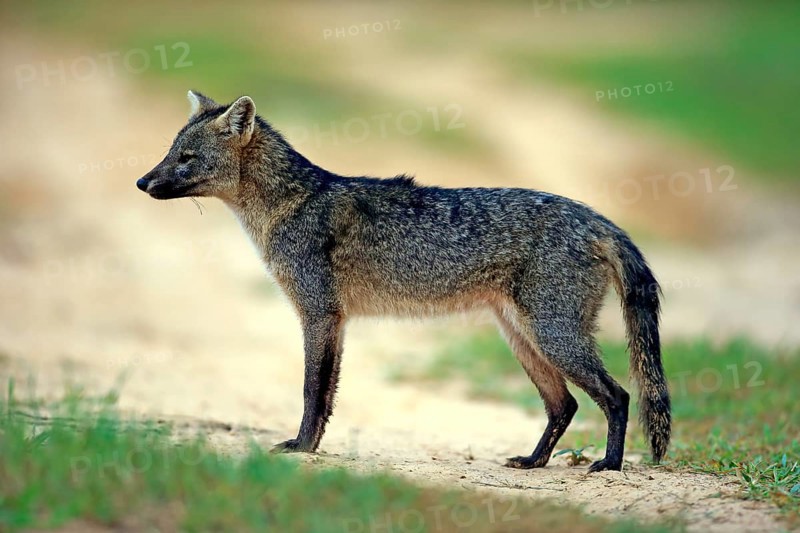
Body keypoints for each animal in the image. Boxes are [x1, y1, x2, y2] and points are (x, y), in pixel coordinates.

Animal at [136, 91, 671, 472]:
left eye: (186, 158)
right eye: (169, 152)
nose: (142, 182)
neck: (290, 204)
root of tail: (597, 218)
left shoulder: (317, 314)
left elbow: (311, 389)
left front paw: (302, 447)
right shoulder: (337, 320)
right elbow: (327, 395)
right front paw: (312, 446)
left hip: (553, 337)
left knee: (618, 396)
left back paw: (609, 464)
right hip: (525, 340)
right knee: (564, 405)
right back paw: (535, 461)